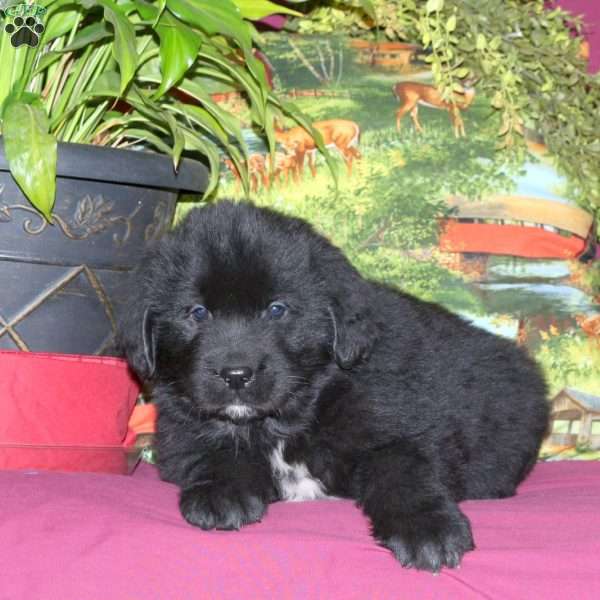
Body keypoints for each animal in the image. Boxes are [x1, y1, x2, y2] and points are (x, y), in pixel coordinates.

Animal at [119, 200, 552, 572]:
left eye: (277, 310)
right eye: (197, 312)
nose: (236, 374)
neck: (292, 413)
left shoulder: (400, 426)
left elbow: (403, 471)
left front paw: (427, 529)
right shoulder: (180, 429)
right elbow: (216, 448)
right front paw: (221, 491)